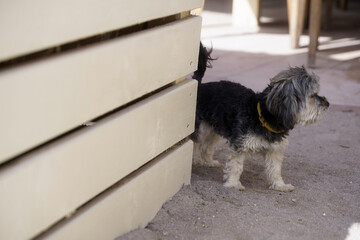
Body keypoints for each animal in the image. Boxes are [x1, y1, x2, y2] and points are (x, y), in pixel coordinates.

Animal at [191, 43, 330, 192]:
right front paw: (233, 184)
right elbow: (236, 166)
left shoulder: (274, 150)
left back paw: (208, 162)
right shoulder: (239, 145)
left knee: (206, 146)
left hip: (214, 129)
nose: (327, 103)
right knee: (196, 143)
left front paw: (280, 185)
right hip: (200, 129)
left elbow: (275, 170)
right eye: (313, 95)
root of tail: (199, 85)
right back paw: (195, 160)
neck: (264, 117)